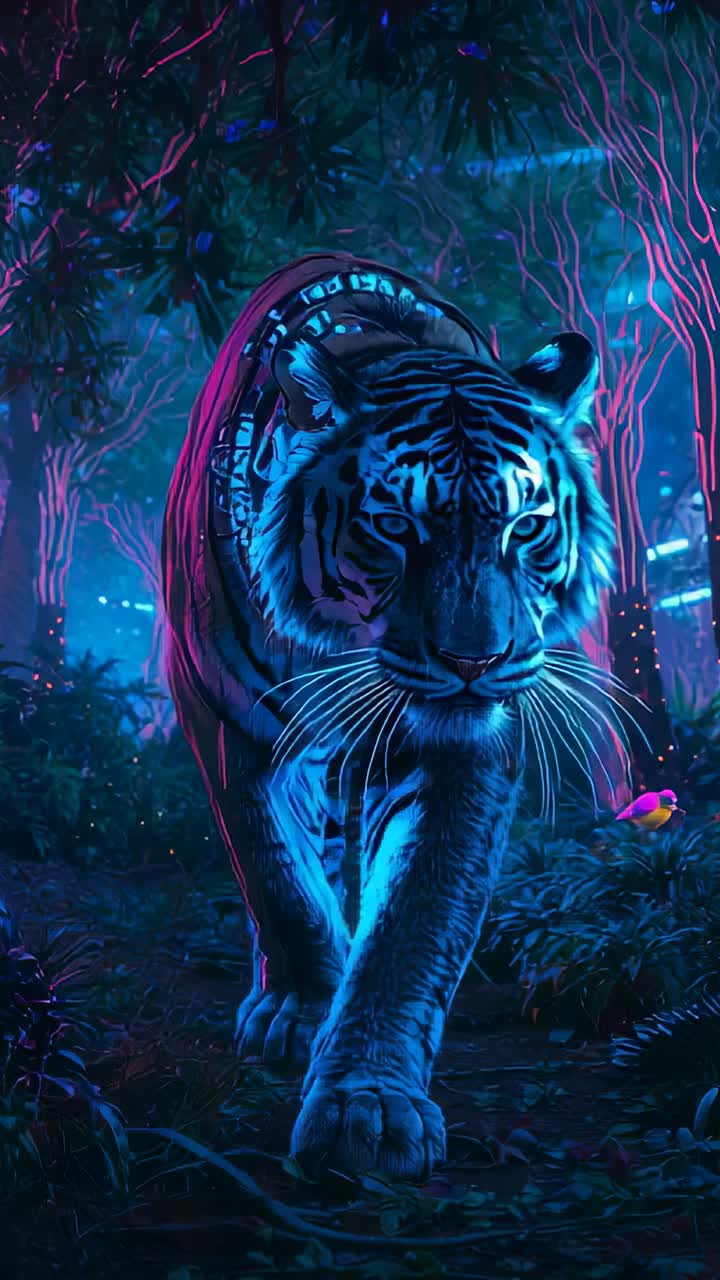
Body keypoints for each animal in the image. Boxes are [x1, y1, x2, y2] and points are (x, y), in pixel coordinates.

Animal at [162, 252, 615, 1181]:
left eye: (527, 526)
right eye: (395, 524)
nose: (474, 661)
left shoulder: (463, 750)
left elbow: (414, 919)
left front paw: (366, 1103)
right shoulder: (228, 718)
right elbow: (279, 878)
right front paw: (304, 1008)